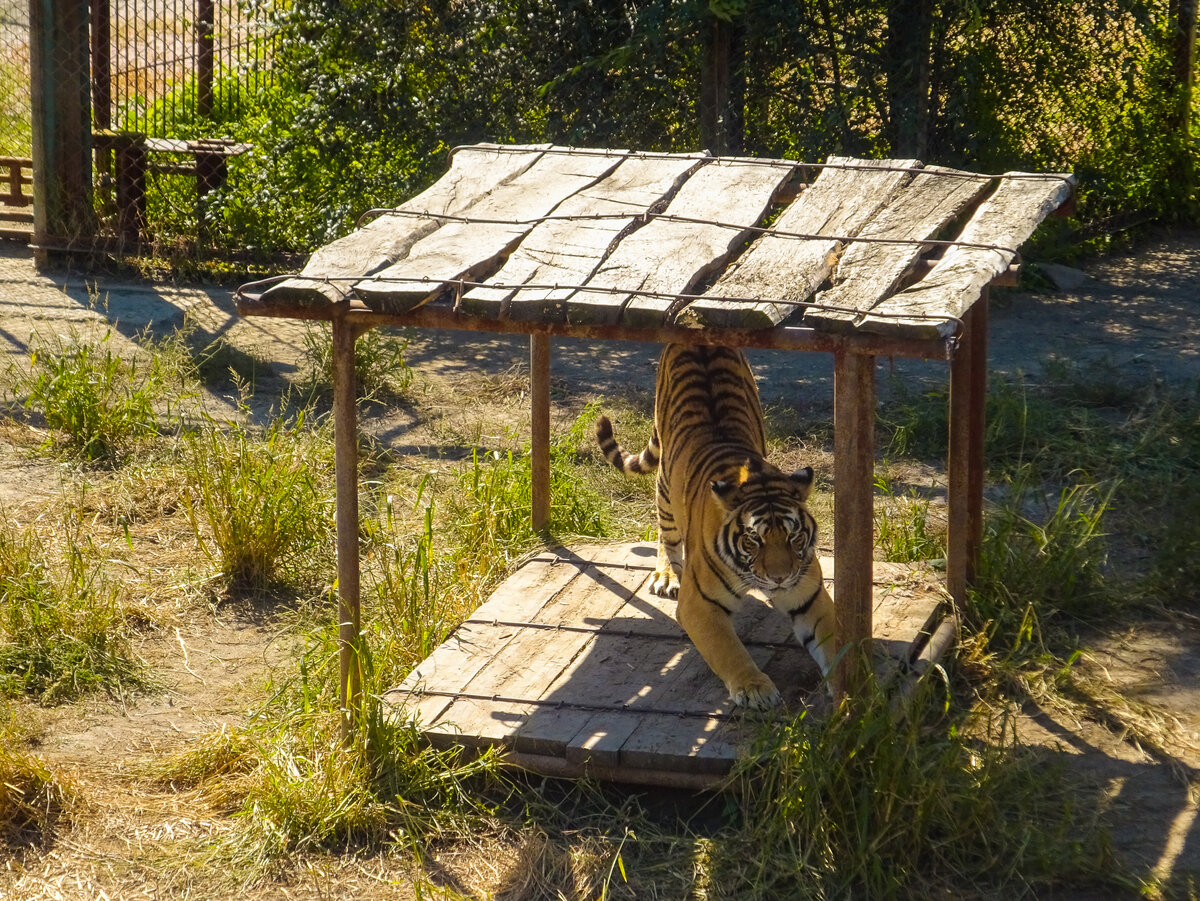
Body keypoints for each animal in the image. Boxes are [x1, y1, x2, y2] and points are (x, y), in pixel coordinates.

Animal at [595, 343, 836, 709]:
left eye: (793, 536)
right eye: (753, 539)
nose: (780, 579)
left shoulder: (809, 595)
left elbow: (838, 642)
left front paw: (858, 683)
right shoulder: (700, 604)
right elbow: (728, 649)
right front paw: (755, 689)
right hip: (666, 487)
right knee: (666, 535)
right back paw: (667, 575)